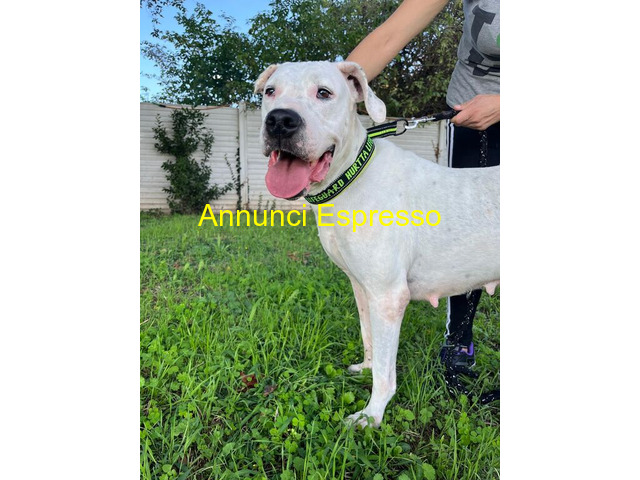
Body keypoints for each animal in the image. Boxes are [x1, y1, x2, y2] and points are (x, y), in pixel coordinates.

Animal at [255, 61, 499, 427]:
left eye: (324, 93)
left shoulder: (388, 296)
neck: (351, 179)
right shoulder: (362, 287)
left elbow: (386, 372)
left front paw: (372, 415)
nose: (280, 121)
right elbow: (370, 338)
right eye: (270, 92)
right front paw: (366, 368)